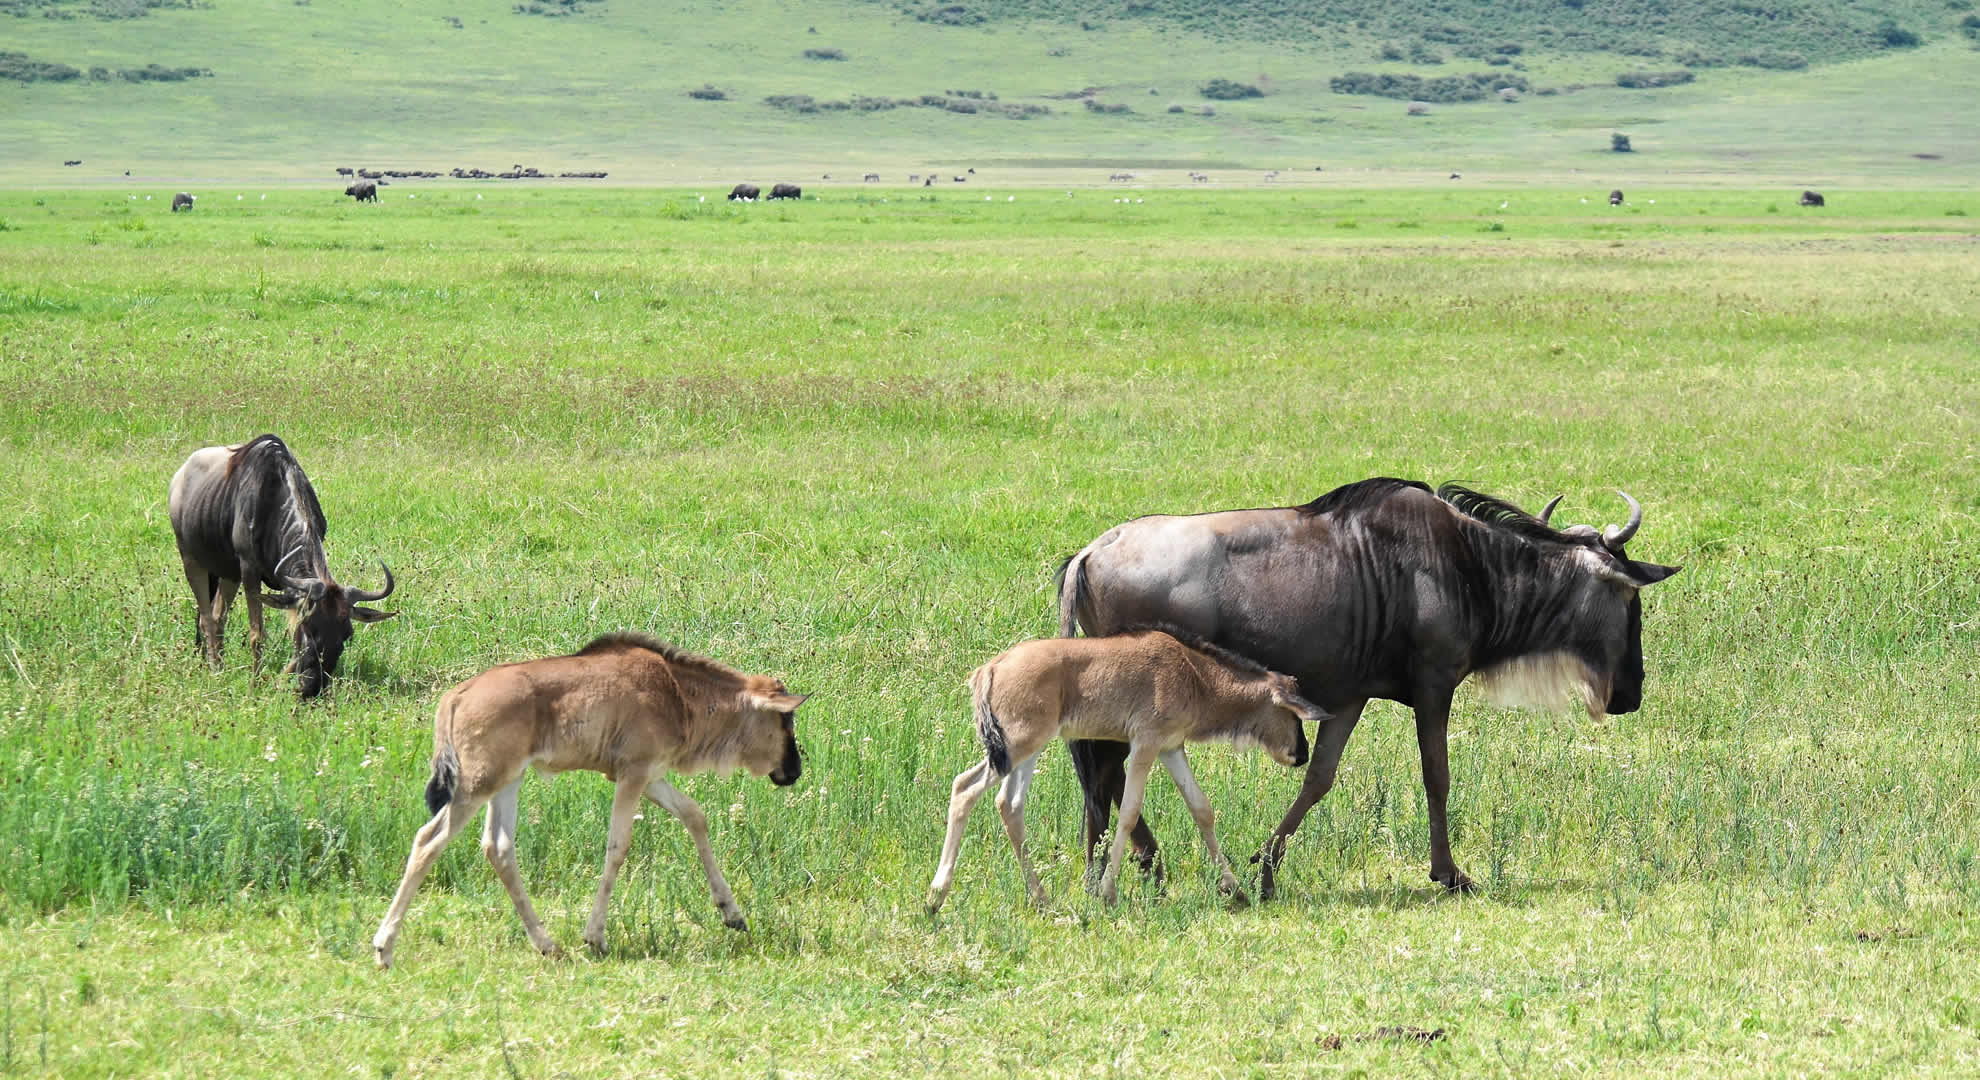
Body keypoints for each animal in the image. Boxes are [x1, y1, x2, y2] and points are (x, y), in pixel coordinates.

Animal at [168, 435, 396, 697]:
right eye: (309, 629)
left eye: (348, 635)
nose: (312, 689)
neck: (274, 500)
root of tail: (180, 476)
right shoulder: (249, 569)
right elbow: (258, 633)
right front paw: (255, 684)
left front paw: (280, 682)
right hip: (192, 560)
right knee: (206, 617)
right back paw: (215, 669)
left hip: (228, 573)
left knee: (218, 617)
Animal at [368, 626, 807, 963]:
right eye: (785, 719)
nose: (794, 771)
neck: (676, 692)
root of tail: (457, 694)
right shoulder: (633, 775)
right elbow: (618, 846)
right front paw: (595, 936)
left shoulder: (650, 777)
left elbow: (694, 815)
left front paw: (731, 913)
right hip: (475, 787)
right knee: (429, 840)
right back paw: (384, 946)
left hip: (507, 782)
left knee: (498, 847)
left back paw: (546, 944)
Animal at [922, 622, 1322, 911]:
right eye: (1293, 714)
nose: (1302, 754)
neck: (1193, 674)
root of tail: (989, 668)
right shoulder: (1145, 744)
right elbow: (1129, 812)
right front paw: (1108, 892)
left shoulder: (1171, 748)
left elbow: (1201, 808)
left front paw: (1234, 889)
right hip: (1019, 746)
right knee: (964, 788)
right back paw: (935, 897)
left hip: (1023, 751)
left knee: (1009, 805)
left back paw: (1041, 899)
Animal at [1061, 477, 1679, 891]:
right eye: (1633, 601)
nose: (1633, 692)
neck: (1471, 567)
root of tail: (1091, 551)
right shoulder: (1434, 687)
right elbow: (1437, 777)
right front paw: (1449, 873)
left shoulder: (1347, 697)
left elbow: (1319, 779)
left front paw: (1266, 867)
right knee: (1107, 769)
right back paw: (1137, 865)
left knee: (1104, 771)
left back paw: (1144, 864)